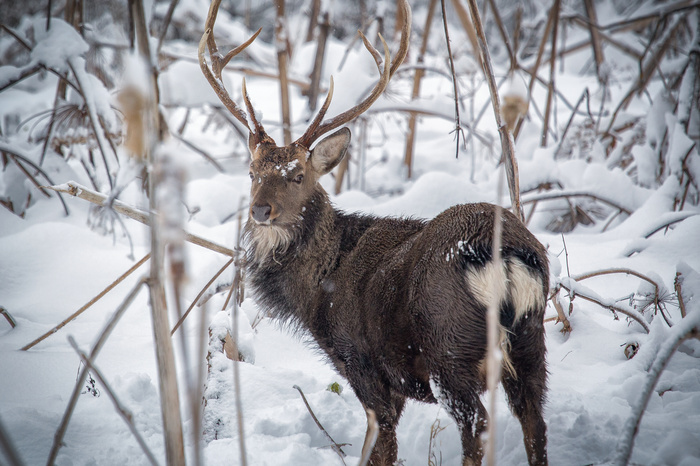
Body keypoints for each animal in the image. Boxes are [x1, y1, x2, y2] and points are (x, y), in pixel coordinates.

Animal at [200, 1, 548, 464]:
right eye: (253, 172)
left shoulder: (361, 361)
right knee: (535, 421)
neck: (318, 292)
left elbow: (380, 445)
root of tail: (506, 255)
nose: (260, 209)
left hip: (449, 346)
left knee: (478, 424)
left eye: (297, 176)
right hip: (531, 340)